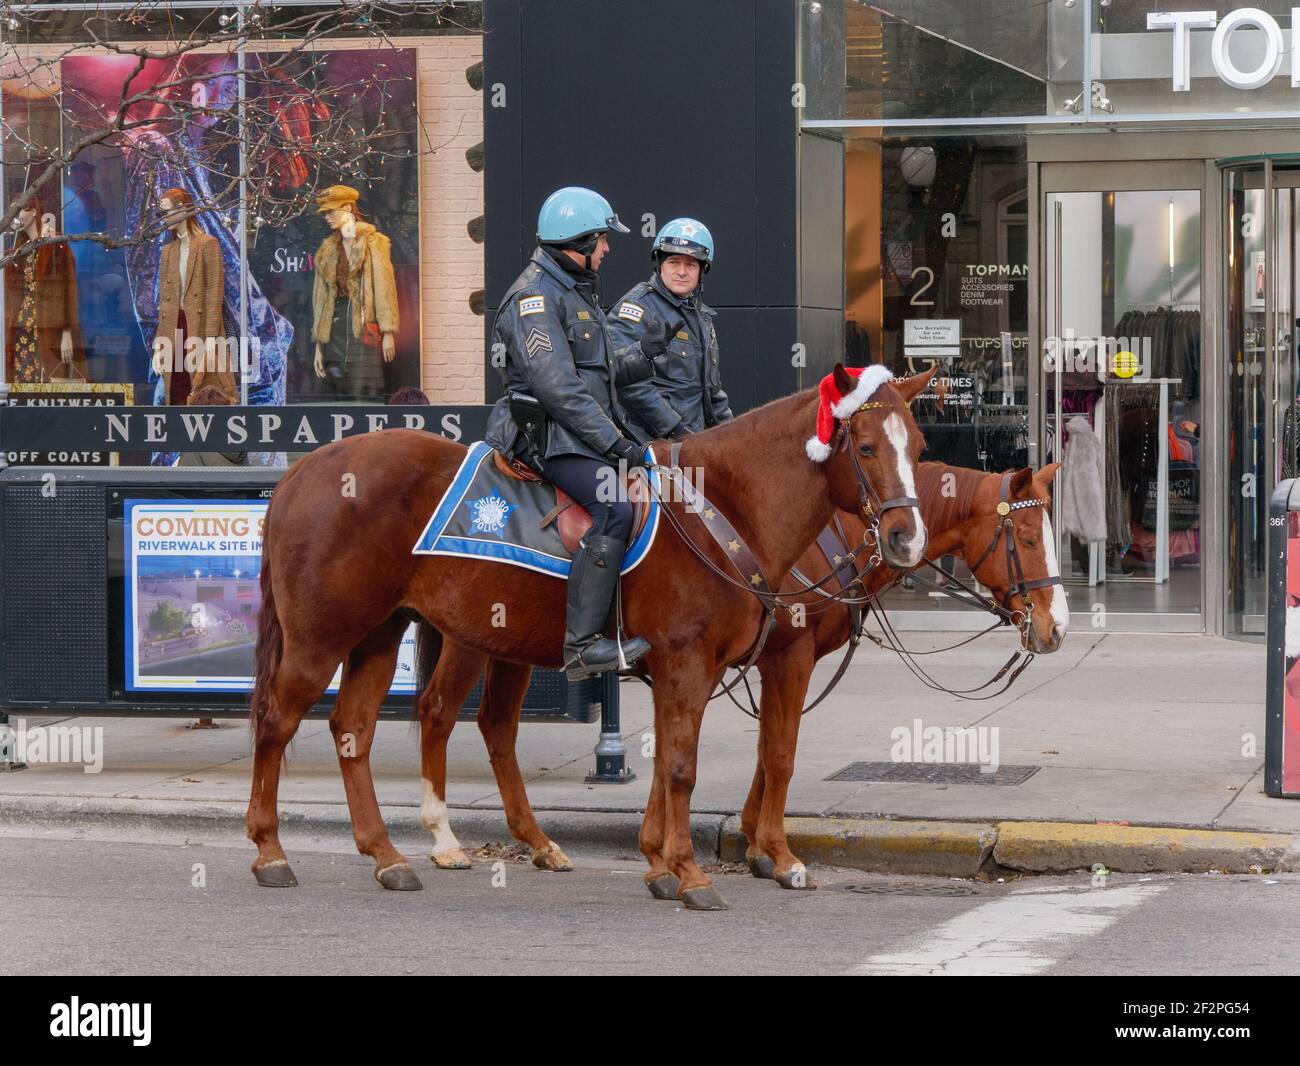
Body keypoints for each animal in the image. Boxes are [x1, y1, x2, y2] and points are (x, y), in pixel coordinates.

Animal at [245, 364, 935, 909]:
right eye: (866, 447)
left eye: (921, 444)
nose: (906, 538)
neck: (720, 509)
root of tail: (304, 470)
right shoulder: (698, 662)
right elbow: (689, 766)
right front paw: (694, 874)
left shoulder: (698, 669)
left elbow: (684, 761)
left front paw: (661, 864)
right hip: (321, 639)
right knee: (280, 721)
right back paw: (271, 850)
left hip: (383, 636)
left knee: (358, 730)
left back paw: (390, 855)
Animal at [743, 462, 1066, 889]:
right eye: (1028, 540)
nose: (1058, 628)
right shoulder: (789, 658)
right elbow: (779, 752)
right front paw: (779, 854)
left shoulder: (773, 661)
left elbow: (765, 748)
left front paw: (755, 842)